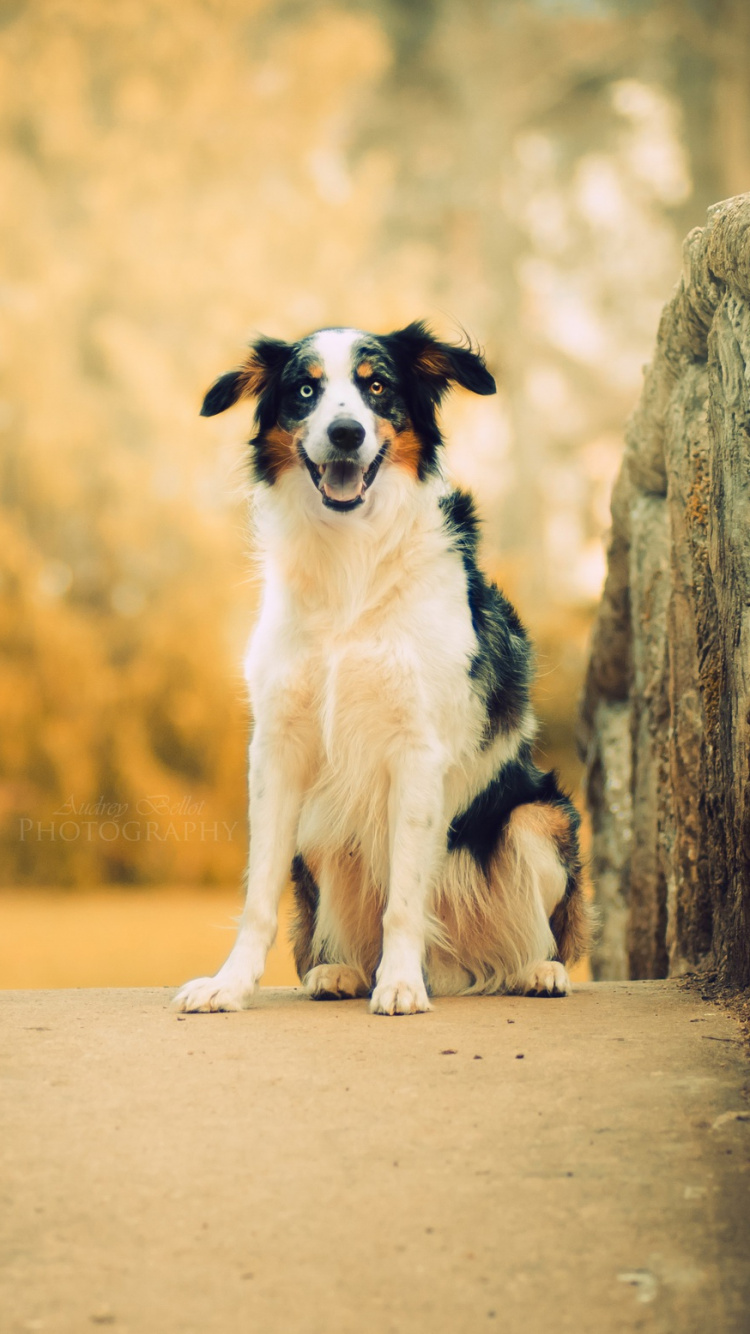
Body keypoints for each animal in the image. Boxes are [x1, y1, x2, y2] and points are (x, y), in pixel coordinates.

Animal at [172, 320, 587, 1008]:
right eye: (306, 389)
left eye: (377, 387)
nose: (346, 432)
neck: (351, 557)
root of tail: (455, 969)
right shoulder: (278, 748)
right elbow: (258, 896)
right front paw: (229, 984)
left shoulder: (417, 748)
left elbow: (405, 899)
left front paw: (399, 986)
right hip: (319, 830)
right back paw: (339, 971)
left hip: (539, 819)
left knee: (533, 932)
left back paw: (533, 971)